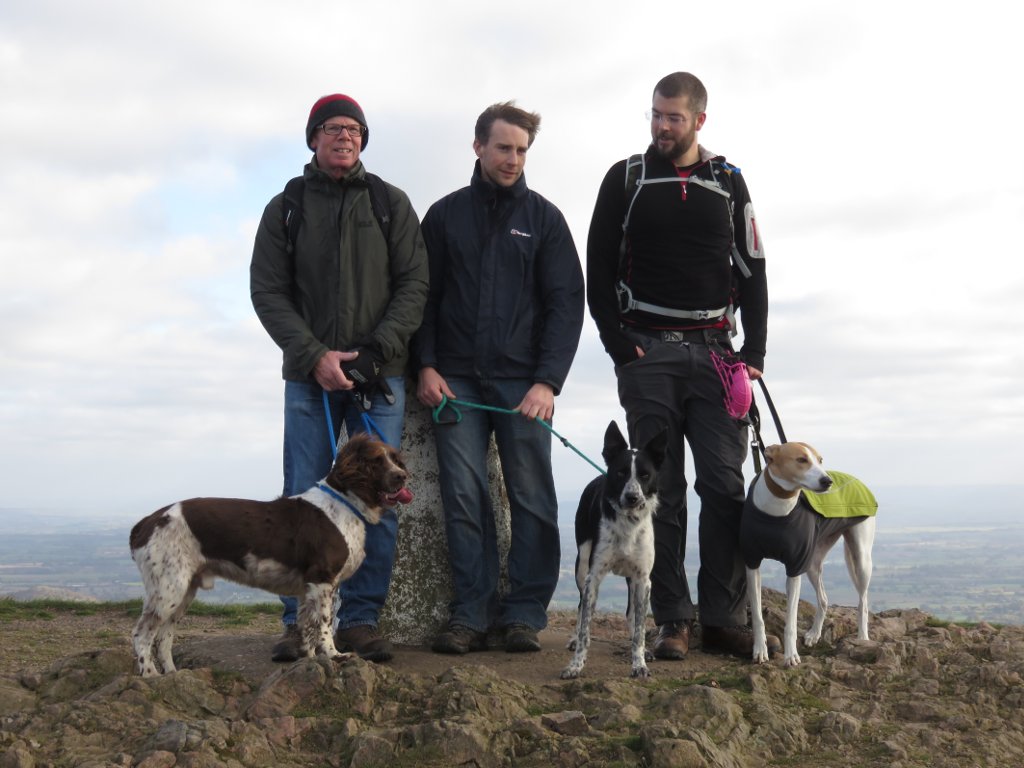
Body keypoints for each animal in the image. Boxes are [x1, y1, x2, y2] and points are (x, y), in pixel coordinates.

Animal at [561, 421, 671, 679]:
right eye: (621, 473)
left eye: (645, 475)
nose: (632, 497)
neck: (628, 523)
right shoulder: (593, 577)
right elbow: (585, 628)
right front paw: (575, 665)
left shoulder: (643, 579)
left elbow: (639, 627)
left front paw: (639, 663)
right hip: (581, 564)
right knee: (580, 608)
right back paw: (574, 638)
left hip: (633, 579)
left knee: (631, 614)